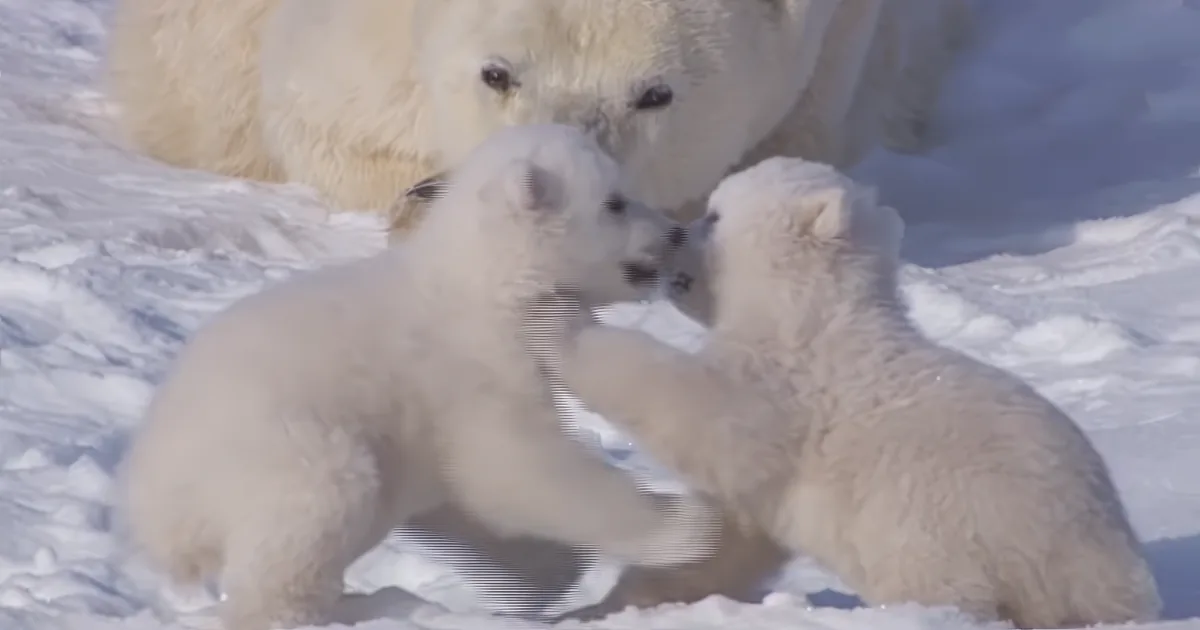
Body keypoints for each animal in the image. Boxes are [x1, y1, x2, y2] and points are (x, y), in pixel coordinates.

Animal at [114, 124, 722, 630]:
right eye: (615, 202)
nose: (674, 232)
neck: (486, 282)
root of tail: (154, 504)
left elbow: (467, 495)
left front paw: (541, 579)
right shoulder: (471, 366)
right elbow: (515, 466)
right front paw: (686, 527)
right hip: (279, 444)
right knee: (320, 505)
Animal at [548, 156, 1164, 628]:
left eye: (715, 214)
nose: (675, 236)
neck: (813, 311)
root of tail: (1103, 566)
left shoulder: (790, 386)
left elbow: (702, 413)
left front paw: (564, 325)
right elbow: (725, 534)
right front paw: (604, 605)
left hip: (942, 521)